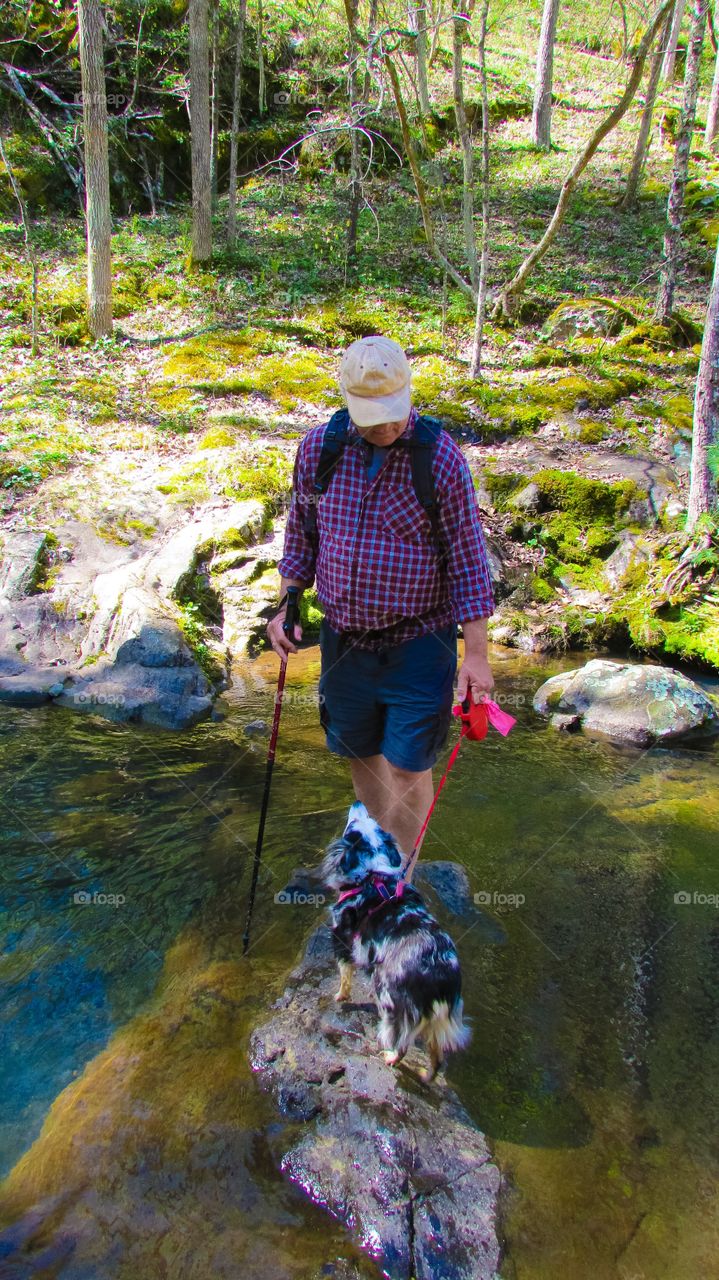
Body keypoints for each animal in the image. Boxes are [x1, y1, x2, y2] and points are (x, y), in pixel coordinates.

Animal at [319, 798, 470, 1080]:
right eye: (373, 821)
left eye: (351, 827)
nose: (357, 802)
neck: (372, 876)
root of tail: (442, 978)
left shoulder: (341, 939)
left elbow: (344, 976)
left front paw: (340, 997)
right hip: (435, 1023)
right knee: (437, 1057)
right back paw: (425, 1075)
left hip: (389, 997)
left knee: (401, 1041)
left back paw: (389, 1057)